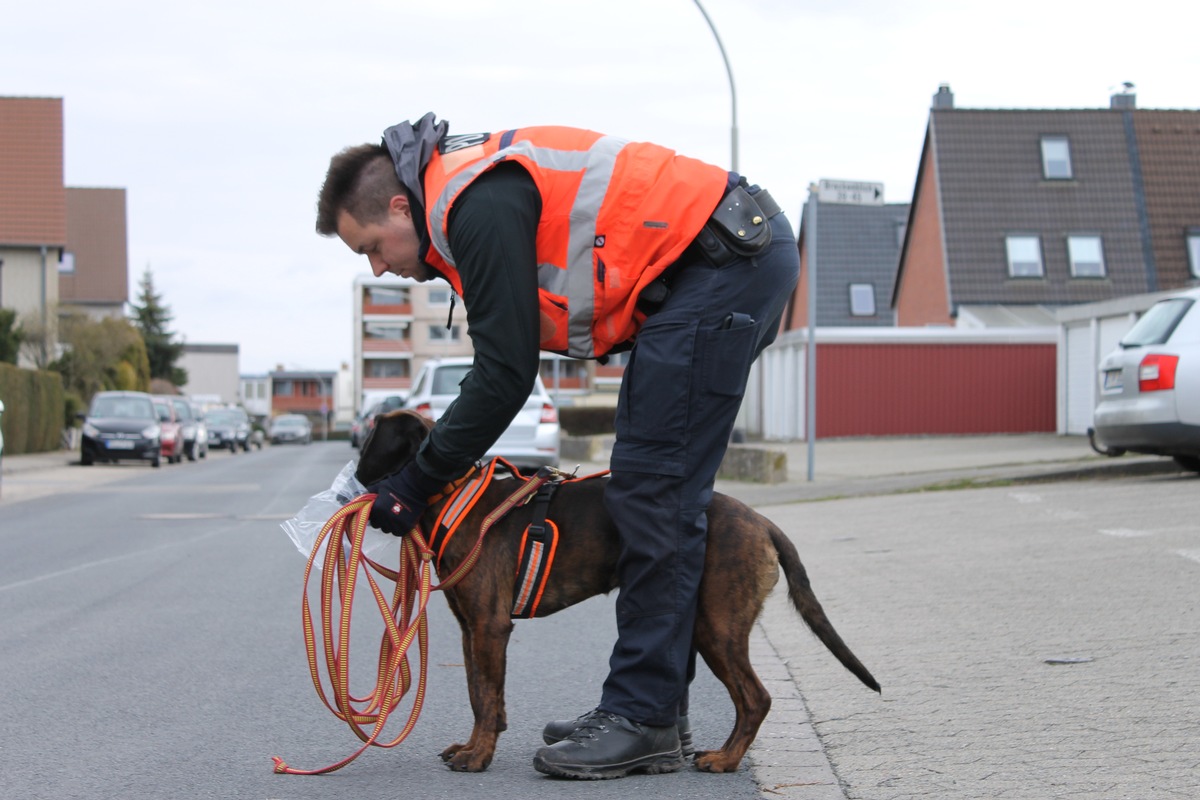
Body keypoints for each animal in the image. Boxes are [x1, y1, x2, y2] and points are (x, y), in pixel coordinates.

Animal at [350, 410, 878, 772]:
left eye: (372, 436)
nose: (355, 472)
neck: (454, 496)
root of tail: (762, 521)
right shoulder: (472, 629)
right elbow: (481, 696)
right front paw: (475, 744)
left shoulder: (489, 628)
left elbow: (487, 694)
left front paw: (479, 755)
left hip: (717, 626)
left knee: (756, 699)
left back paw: (725, 759)